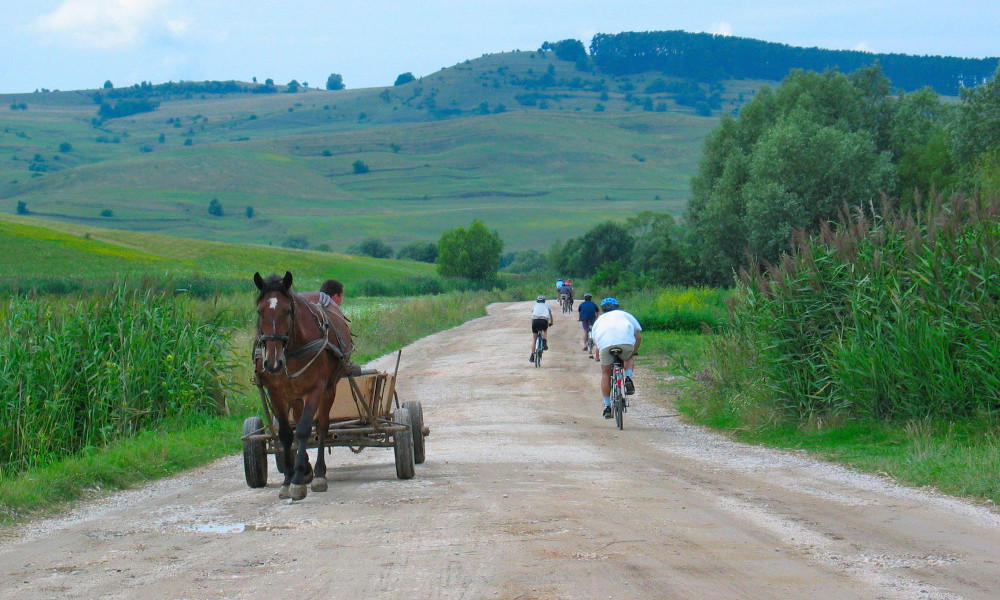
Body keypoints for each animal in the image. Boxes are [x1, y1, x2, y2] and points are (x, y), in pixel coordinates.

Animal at [254, 270, 356, 496]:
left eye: (287, 310)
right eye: (259, 311)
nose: (272, 362)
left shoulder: (316, 389)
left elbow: (303, 430)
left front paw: (298, 480)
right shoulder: (276, 392)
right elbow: (285, 434)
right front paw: (288, 479)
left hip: (329, 389)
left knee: (321, 426)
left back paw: (318, 473)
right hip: (295, 395)